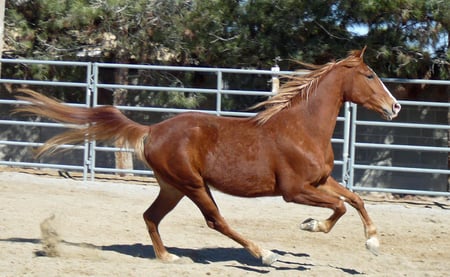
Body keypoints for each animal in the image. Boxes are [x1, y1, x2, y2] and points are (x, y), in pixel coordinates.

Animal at [14, 47, 400, 264]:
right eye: (369, 75)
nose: (395, 106)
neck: (301, 129)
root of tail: (151, 131)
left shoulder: (320, 180)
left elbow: (356, 199)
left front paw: (373, 243)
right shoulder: (295, 191)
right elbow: (339, 207)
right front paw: (310, 225)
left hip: (172, 187)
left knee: (151, 216)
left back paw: (167, 257)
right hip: (194, 185)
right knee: (216, 221)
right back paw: (264, 254)